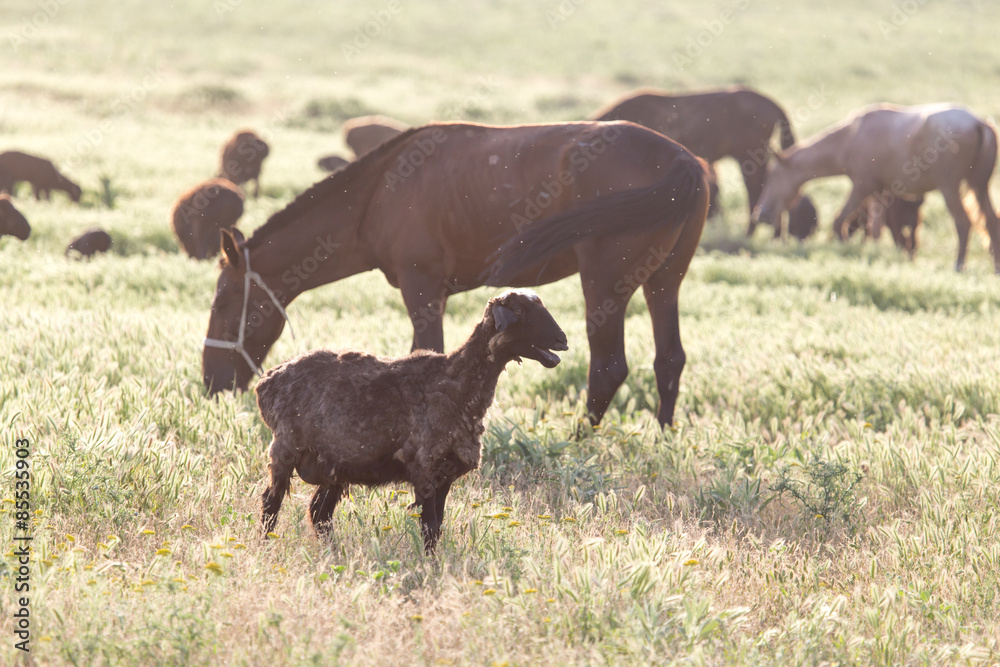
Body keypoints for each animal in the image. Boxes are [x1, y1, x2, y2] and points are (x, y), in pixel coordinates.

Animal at [256, 289, 568, 551]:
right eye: (521, 311)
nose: (562, 341)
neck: (456, 382)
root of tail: (268, 380)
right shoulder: (426, 470)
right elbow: (429, 527)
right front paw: (430, 567)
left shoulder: (445, 476)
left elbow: (437, 527)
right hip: (285, 448)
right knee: (271, 503)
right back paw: (266, 546)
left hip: (335, 464)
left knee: (319, 512)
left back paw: (334, 553)